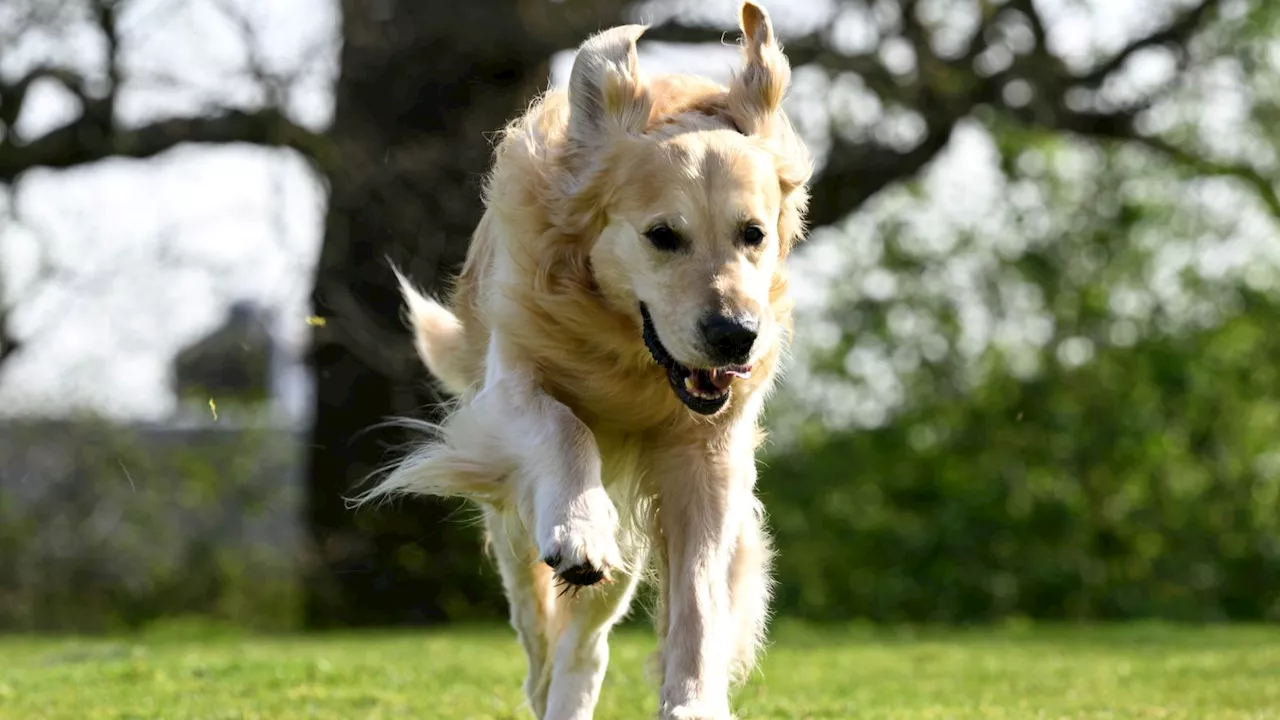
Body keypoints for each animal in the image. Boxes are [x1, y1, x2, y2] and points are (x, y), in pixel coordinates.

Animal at [355, 4, 808, 712]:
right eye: (662, 236)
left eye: (753, 234)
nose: (736, 336)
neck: (626, 351)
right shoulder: (508, 393)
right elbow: (564, 427)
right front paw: (578, 528)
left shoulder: (706, 453)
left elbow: (701, 587)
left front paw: (693, 701)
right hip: (514, 526)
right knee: (540, 632)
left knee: (587, 644)